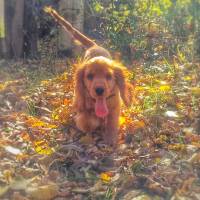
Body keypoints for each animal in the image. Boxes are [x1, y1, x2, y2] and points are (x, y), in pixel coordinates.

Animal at [45, 7, 133, 145]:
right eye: (89, 76)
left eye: (109, 76)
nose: (99, 90)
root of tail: (94, 45)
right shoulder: (82, 107)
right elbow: (87, 120)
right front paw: (95, 123)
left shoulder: (115, 107)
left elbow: (112, 123)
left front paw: (110, 139)